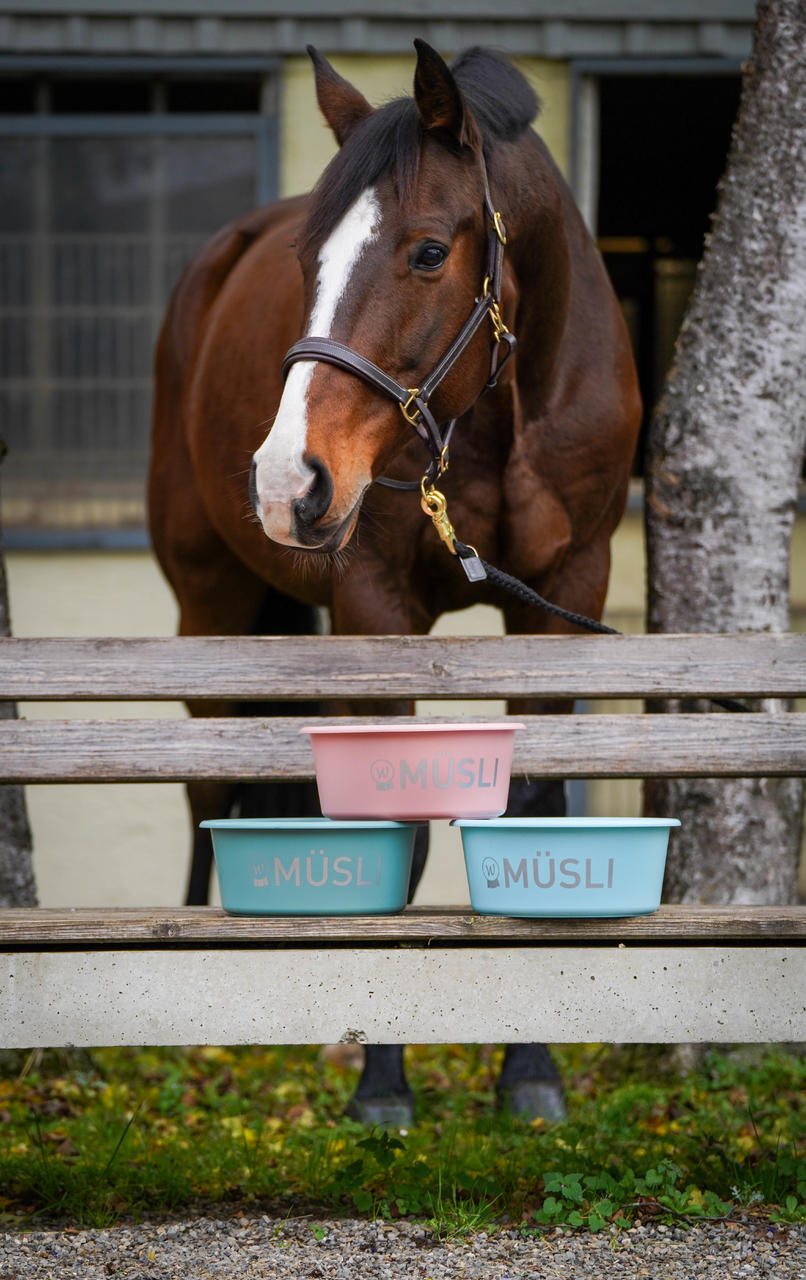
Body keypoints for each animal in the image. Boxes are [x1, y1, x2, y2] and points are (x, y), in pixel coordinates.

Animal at [150, 37, 644, 1121]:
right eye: (306, 262)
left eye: (425, 252)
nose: (285, 480)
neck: (499, 412)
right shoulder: (374, 603)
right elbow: (396, 828)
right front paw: (382, 1084)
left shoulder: (568, 597)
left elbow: (532, 806)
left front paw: (529, 1071)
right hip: (208, 601)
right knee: (205, 783)